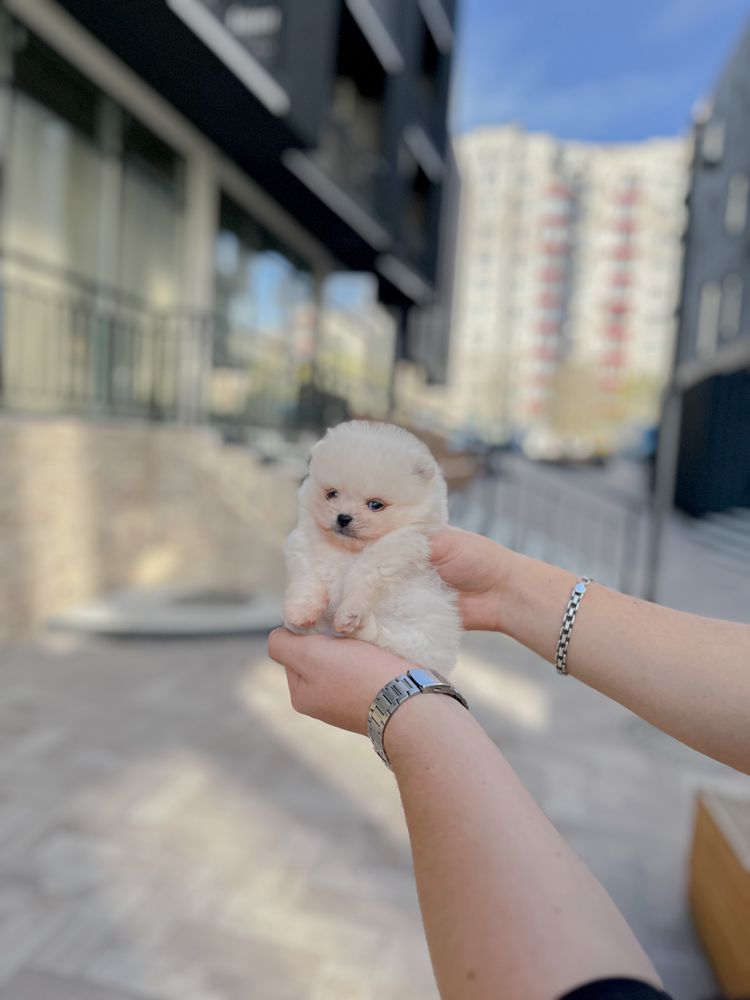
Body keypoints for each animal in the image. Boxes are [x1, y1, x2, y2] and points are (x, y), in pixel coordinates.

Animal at [284, 420, 462, 672]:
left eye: (375, 505)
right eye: (332, 494)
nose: (343, 517)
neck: (347, 550)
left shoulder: (398, 547)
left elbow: (363, 577)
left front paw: (348, 612)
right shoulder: (304, 546)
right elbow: (308, 580)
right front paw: (300, 612)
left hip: (418, 641)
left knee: (386, 638)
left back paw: (359, 625)